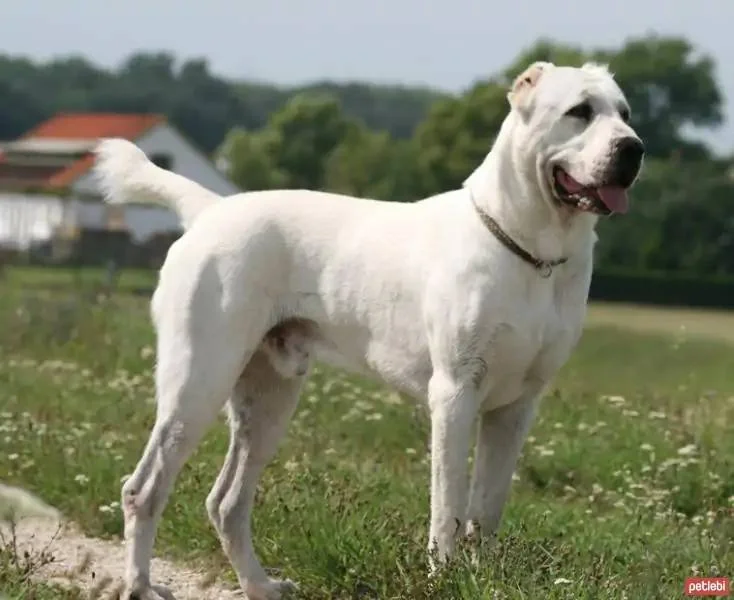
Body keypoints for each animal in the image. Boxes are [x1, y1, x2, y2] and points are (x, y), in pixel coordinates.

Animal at [93, 62, 644, 600]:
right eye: (579, 111)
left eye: (624, 113)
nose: (633, 148)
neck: (532, 254)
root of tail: (212, 208)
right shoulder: (455, 393)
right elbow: (448, 505)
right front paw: (445, 578)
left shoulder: (516, 407)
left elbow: (486, 509)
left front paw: (481, 576)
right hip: (198, 381)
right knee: (144, 490)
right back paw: (141, 586)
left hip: (270, 397)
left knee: (226, 502)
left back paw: (260, 585)